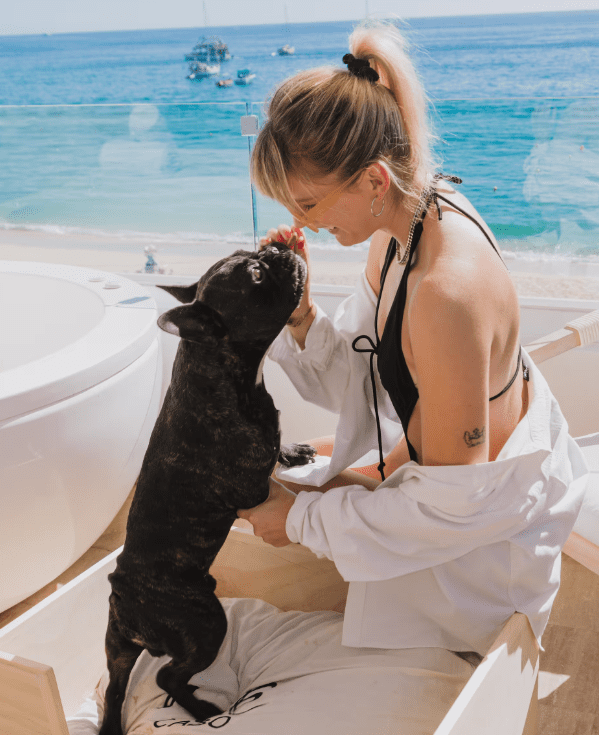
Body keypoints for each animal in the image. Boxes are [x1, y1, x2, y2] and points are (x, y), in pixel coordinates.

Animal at [97, 247, 318, 735]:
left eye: (255, 258)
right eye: (255, 275)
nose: (275, 250)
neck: (223, 369)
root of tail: (126, 605)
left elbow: (280, 445)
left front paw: (294, 451)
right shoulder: (251, 485)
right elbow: (270, 470)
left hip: (117, 648)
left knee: (115, 689)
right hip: (205, 622)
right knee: (167, 676)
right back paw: (201, 710)